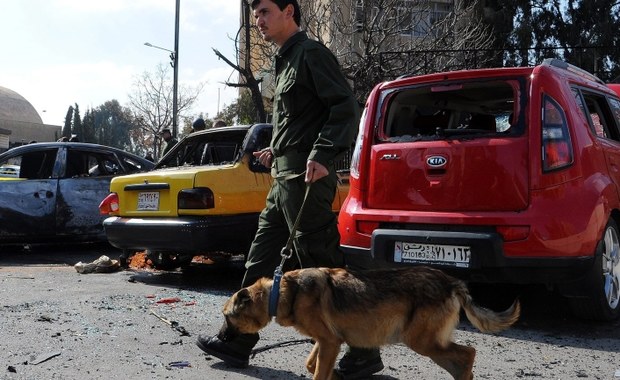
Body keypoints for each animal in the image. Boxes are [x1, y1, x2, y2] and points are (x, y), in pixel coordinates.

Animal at [220, 268, 520, 380]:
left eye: (226, 317)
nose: (220, 338)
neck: (284, 292)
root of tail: (452, 281)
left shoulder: (329, 342)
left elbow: (316, 371)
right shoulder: (328, 341)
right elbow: (311, 364)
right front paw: (335, 375)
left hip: (422, 342)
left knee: (469, 353)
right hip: (430, 344)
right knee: (462, 359)